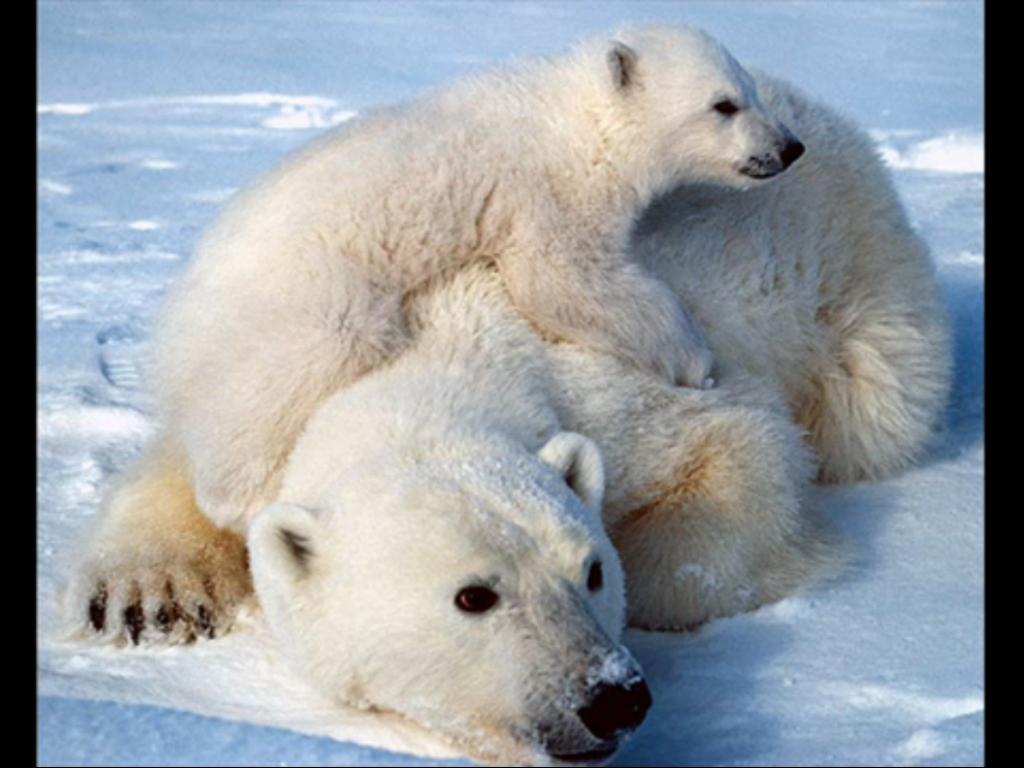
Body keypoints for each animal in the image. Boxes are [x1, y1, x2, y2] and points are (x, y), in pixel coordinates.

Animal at [152, 25, 805, 532]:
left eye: (750, 90)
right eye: (724, 104)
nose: (789, 147)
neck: (575, 120)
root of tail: (179, 314)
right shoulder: (546, 190)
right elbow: (563, 279)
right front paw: (695, 359)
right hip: (303, 296)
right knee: (297, 369)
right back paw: (244, 497)